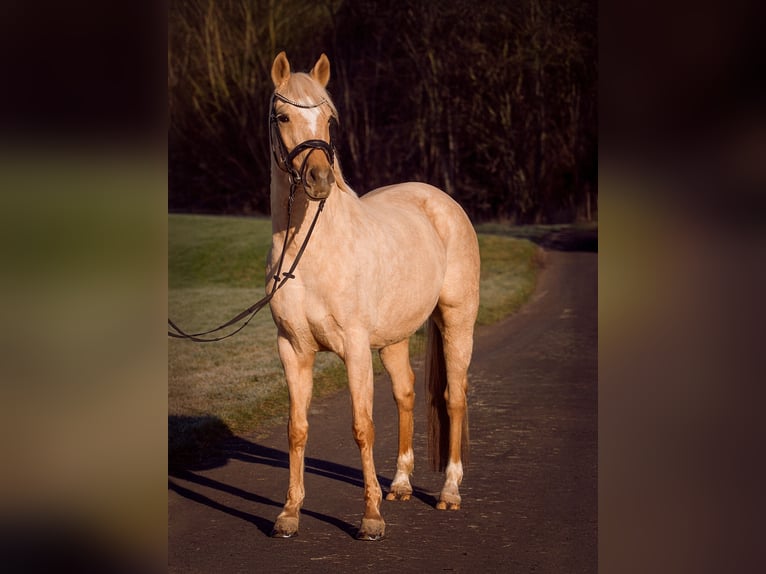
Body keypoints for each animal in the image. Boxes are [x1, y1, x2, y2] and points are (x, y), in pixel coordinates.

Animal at [266, 52, 480, 541]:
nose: (319, 179)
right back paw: (400, 484)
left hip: (457, 322)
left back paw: (449, 491)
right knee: (405, 395)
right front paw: (289, 513)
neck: (310, 252)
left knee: (454, 397)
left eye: (330, 119)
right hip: (395, 340)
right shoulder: (293, 349)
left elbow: (362, 426)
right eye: (283, 116)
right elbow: (296, 429)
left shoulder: (355, 348)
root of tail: (442, 201)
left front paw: (371, 518)